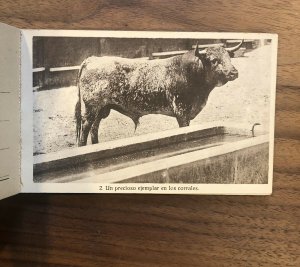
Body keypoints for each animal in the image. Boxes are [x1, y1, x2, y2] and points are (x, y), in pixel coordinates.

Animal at [75, 40, 244, 148]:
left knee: (94, 129)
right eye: (214, 60)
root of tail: (92, 59)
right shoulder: (182, 113)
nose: (234, 72)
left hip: (102, 109)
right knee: (85, 130)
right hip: (91, 109)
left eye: (228, 57)